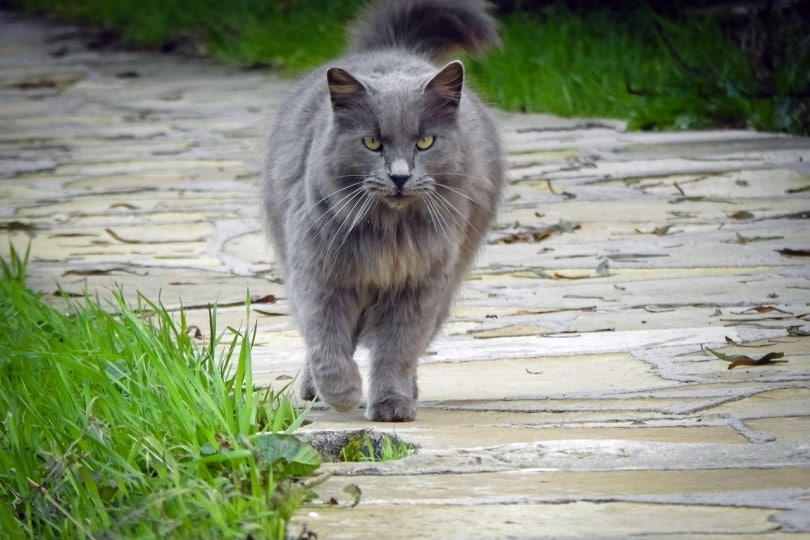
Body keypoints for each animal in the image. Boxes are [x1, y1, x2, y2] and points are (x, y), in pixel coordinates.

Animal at [262, 0, 502, 422]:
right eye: (372, 143)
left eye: (425, 142)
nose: (400, 176)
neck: (389, 233)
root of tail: (393, 49)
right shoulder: (319, 279)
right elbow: (327, 346)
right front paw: (343, 394)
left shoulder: (418, 289)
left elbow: (396, 352)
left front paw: (391, 405)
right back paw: (313, 389)